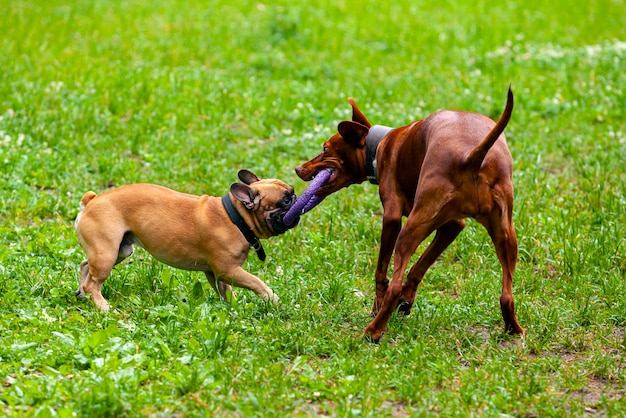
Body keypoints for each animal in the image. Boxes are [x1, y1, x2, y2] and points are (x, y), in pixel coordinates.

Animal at [73, 169, 298, 310]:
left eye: (292, 192)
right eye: (285, 200)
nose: (296, 198)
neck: (237, 217)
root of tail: (91, 200)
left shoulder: (217, 273)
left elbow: (226, 291)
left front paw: (233, 308)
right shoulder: (228, 270)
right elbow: (256, 282)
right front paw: (272, 298)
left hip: (119, 251)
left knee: (86, 266)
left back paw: (82, 294)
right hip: (106, 254)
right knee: (93, 283)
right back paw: (103, 306)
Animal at [294, 89, 524, 342]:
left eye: (325, 149)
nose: (298, 169)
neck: (379, 146)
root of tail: (471, 156)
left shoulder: (392, 218)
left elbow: (382, 272)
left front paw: (378, 306)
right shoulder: (453, 225)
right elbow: (419, 266)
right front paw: (407, 298)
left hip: (410, 229)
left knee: (393, 284)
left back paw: (373, 331)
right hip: (505, 235)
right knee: (507, 296)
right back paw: (514, 328)